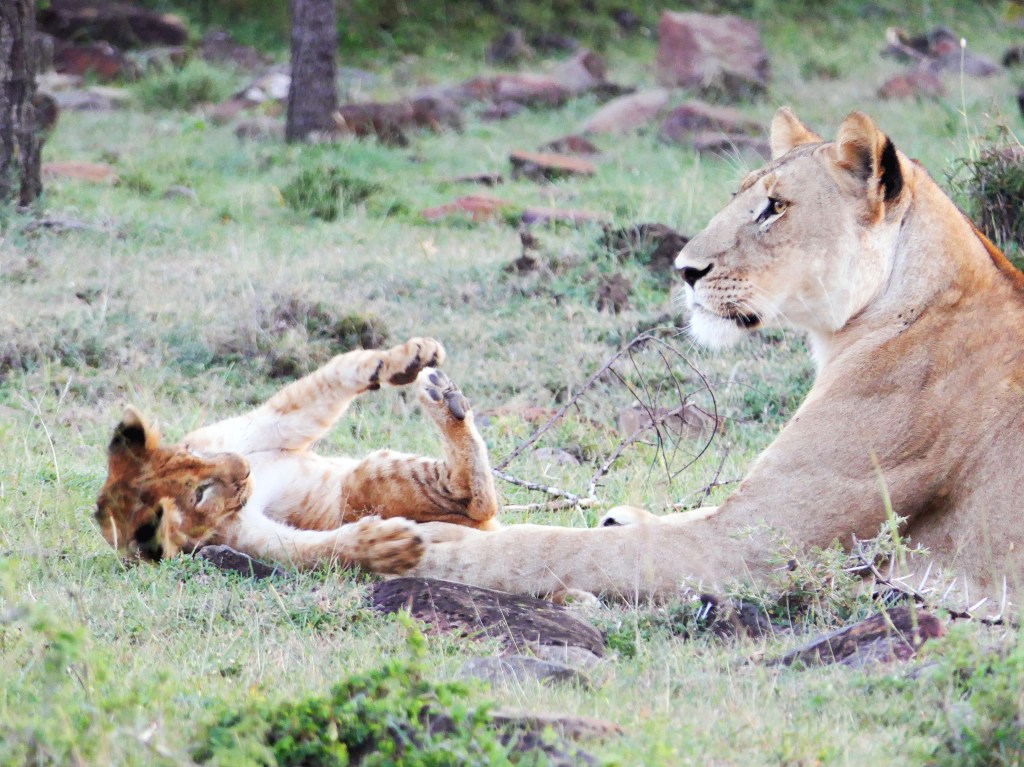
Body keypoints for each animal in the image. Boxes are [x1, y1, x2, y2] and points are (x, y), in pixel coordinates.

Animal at [95, 338, 499, 572]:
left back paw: (443, 394)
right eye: (199, 494)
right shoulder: (235, 541)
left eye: (193, 455)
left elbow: (334, 374)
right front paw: (383, 546)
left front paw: (406, 357)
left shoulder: (259, 428)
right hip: (368, 481)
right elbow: (312, 550)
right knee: (471, 499)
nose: (244, 468)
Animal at [407, 108, 1024, 603]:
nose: (684, 269)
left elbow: (555, 548)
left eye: (774, 207)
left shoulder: (751, 547)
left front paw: (424, 544)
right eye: (739, 198)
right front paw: (619, 516)